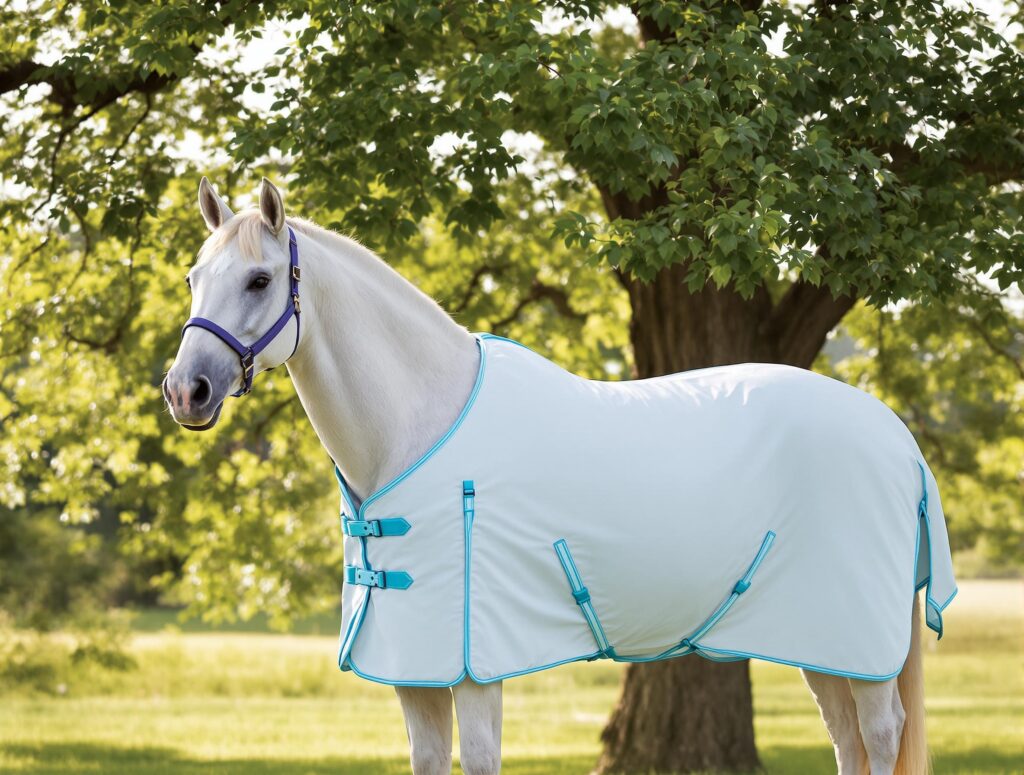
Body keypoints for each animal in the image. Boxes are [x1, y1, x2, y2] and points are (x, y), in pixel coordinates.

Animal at [163, 177, 954, 775]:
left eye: (260, 279)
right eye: (194, 278)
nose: (185, 391)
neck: (420, 427)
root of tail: (894, 435)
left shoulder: (475, 668)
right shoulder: (415, 674)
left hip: (859, 645)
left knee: (879, 735)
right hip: (818, 640)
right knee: (848, 741)